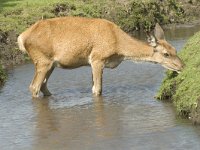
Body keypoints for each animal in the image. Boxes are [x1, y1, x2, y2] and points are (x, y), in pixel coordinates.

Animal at [18, 17, 184, 98]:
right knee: (34, 87)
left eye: (175, 49)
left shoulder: (94, 63)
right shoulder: (97, 59)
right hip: (42, 60)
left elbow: (95, 88)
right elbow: (97, 89)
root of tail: (22, 37)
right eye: (166, 54)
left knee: (43, 87)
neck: (119, 48)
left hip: (51, 64)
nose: (182, 66)